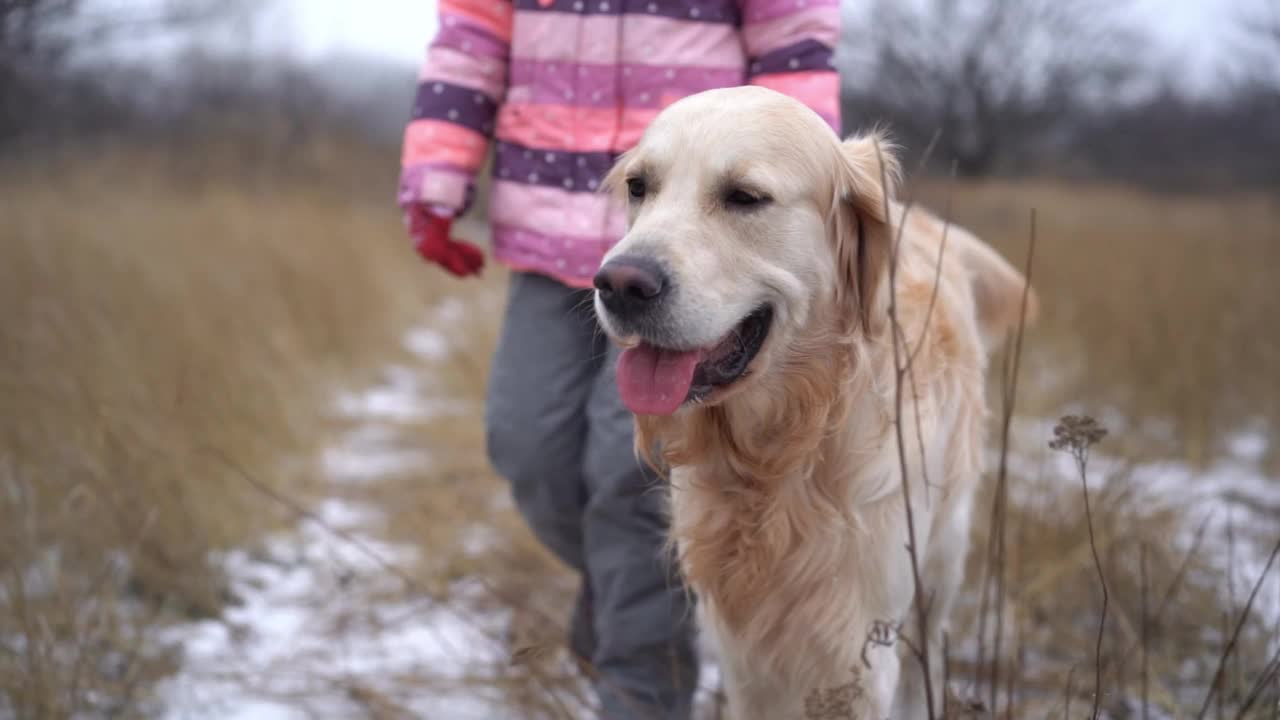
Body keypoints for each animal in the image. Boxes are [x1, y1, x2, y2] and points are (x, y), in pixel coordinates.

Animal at [593, 85, 1034, 717]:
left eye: (745, 197)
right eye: (638, 186)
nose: (619, 284)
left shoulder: (859, 642)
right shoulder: (743, 644)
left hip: (940, 562)